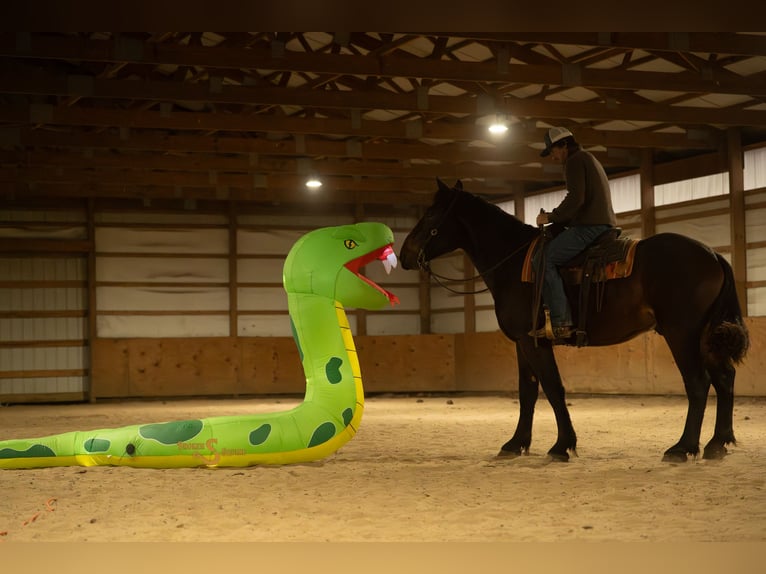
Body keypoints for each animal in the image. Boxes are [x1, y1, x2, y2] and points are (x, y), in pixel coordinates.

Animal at [399, 179, 750, 462]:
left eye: (430, 216)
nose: (403, 255)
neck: (514, 262)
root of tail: (712, 254)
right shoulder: (524, 342)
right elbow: (527, 391)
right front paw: (516, 444)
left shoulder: (534, 342)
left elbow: (553, 388)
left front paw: (561, 445)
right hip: (705, 336)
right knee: (725, 378)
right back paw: (717, 444)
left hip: (682, 334)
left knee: (699, 383)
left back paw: (682, 447)